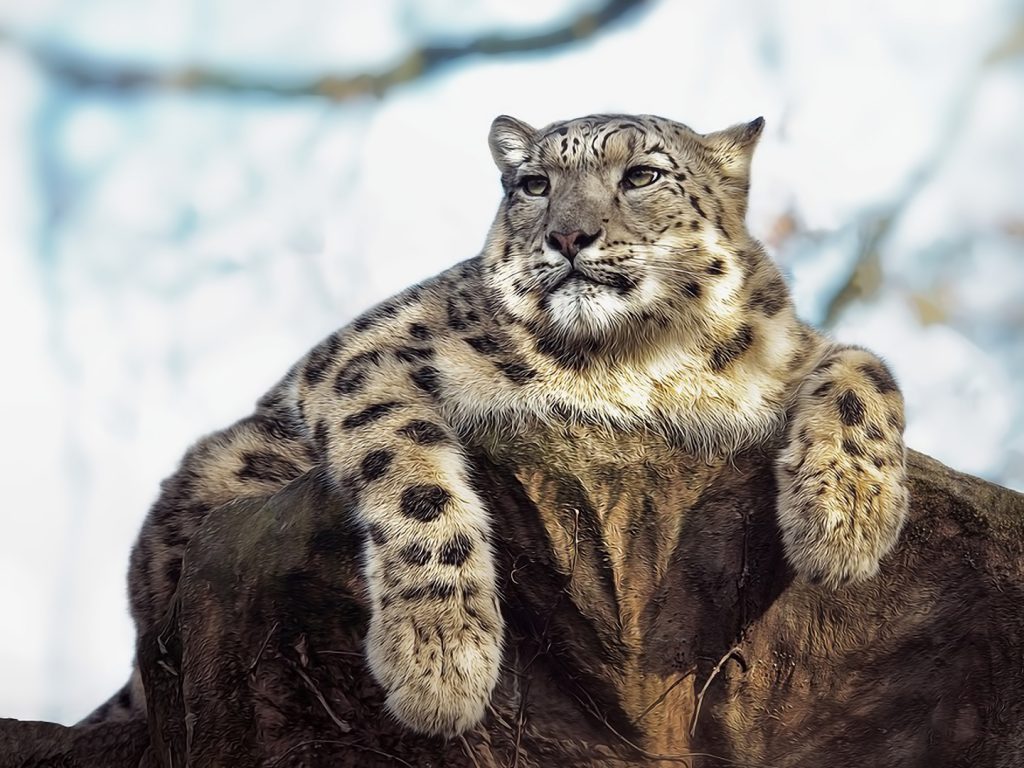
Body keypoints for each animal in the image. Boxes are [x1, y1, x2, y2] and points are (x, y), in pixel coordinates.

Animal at [96, 112, 909, 737]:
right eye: (534, 184)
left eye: (642, 175)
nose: (570, 237)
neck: (634, 363)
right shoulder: (365, 358)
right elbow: (416, 482)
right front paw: (441, 663)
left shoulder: (793, 351)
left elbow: (866, 367)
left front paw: (844, 523)